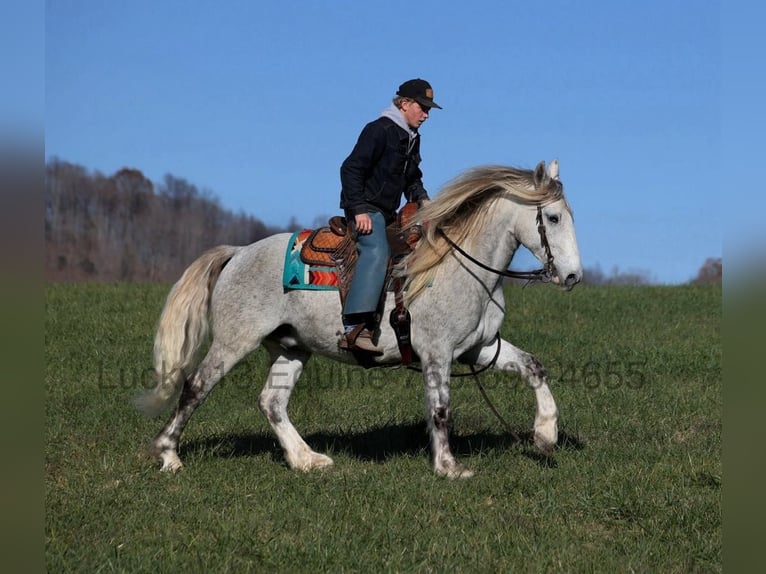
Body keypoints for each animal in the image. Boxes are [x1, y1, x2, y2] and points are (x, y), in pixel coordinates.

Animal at [140, 160, 584, 480]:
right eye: (554, 218)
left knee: (271, 402)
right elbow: (440, 408)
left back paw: (306, 459)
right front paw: (449, 467)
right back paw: (169, 456)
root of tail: (238, 252)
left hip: (291, 348)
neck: (458, 265)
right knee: (195, 388)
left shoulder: (480, 348)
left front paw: (545, 434)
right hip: (234, 341)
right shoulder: (437, 353)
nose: (573, 276)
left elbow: (534, 367)